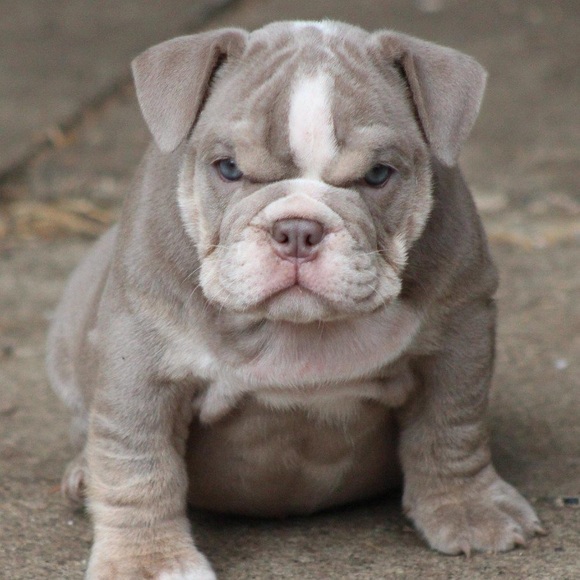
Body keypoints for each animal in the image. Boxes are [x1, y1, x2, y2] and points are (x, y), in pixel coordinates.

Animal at [47, 20, 544, 579]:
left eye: (378, 175)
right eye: (228, 168)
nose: (299, 229)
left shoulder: (459, 332)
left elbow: (453, 426)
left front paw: (470, 511)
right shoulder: (144, 363)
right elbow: (138, 461)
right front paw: (148, 561)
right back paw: (82, 475)